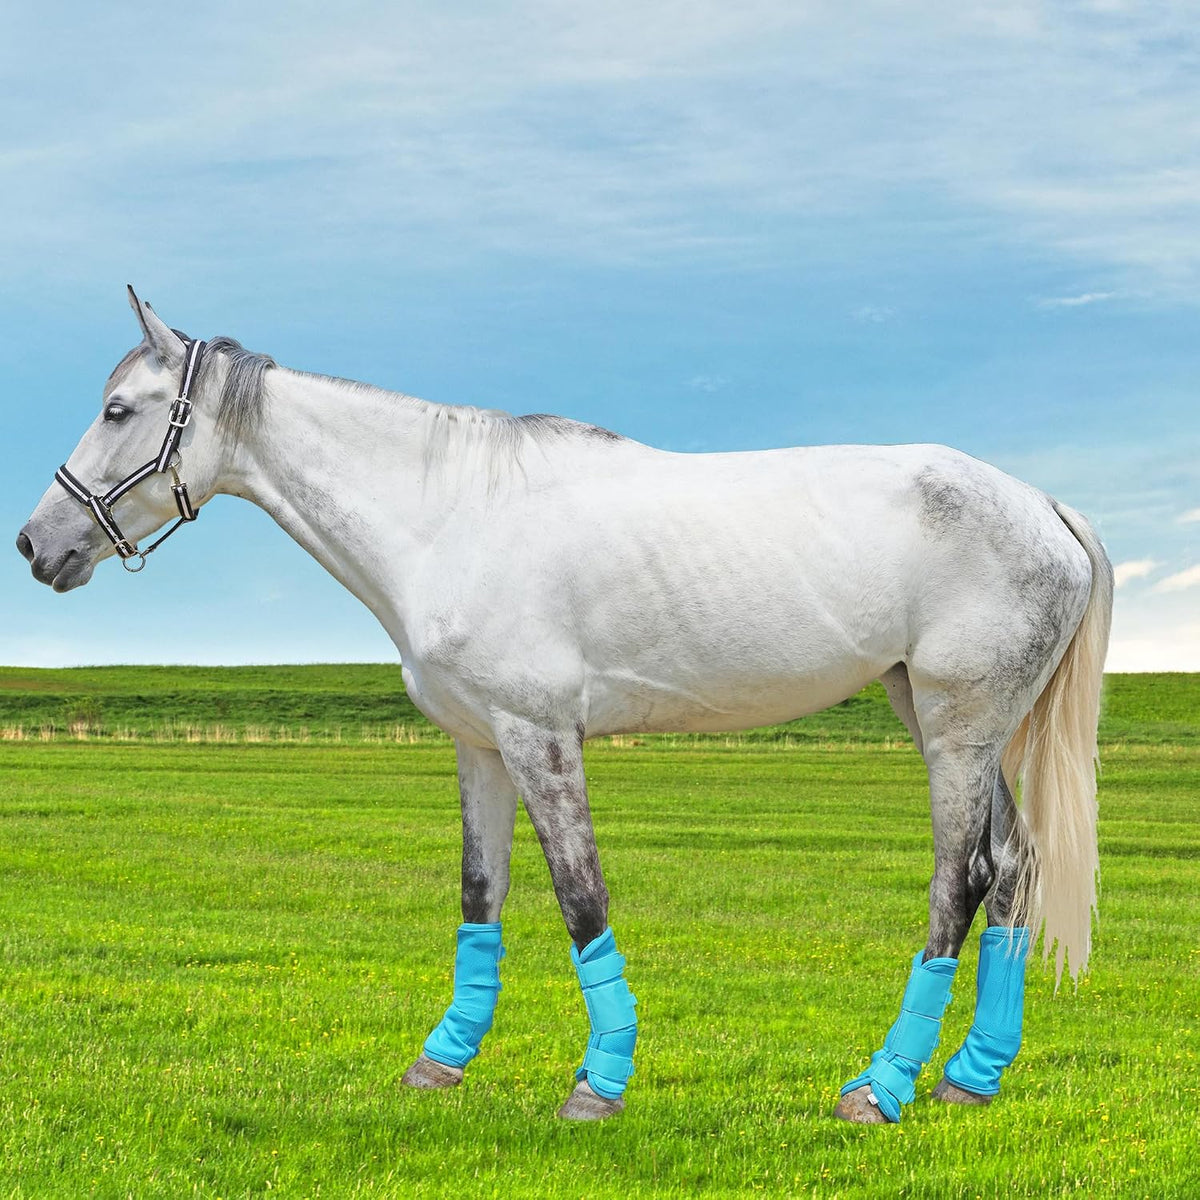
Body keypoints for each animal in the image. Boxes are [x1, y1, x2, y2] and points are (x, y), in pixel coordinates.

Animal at [17, 288, 1112, 1123]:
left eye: (119, 409)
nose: (37, 543)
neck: (451, 515)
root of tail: (1044, 506)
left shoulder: (541, 738)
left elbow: (581, 897)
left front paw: (599, 1084)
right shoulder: (479, 746)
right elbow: (480, 896)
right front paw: (442, 1060)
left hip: (957, 730)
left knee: (961, 883)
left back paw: (879, 1088)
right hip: (947, 724)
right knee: (1016, 871)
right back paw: (970, 1080)